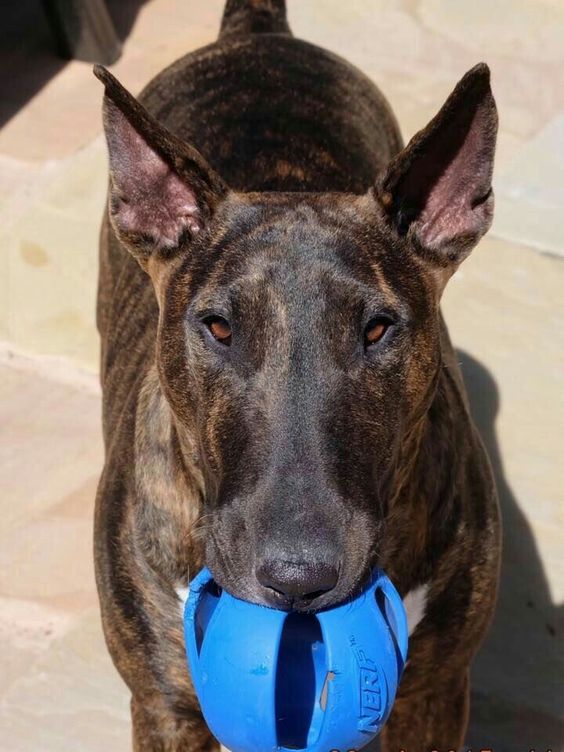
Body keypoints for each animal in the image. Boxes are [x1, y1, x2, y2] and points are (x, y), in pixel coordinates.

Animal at [94, 2, 500, 748]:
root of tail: (256, 31)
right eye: (219, 327)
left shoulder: (433, 692)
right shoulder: (164, 706)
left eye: (378, 329)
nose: (298, 580)